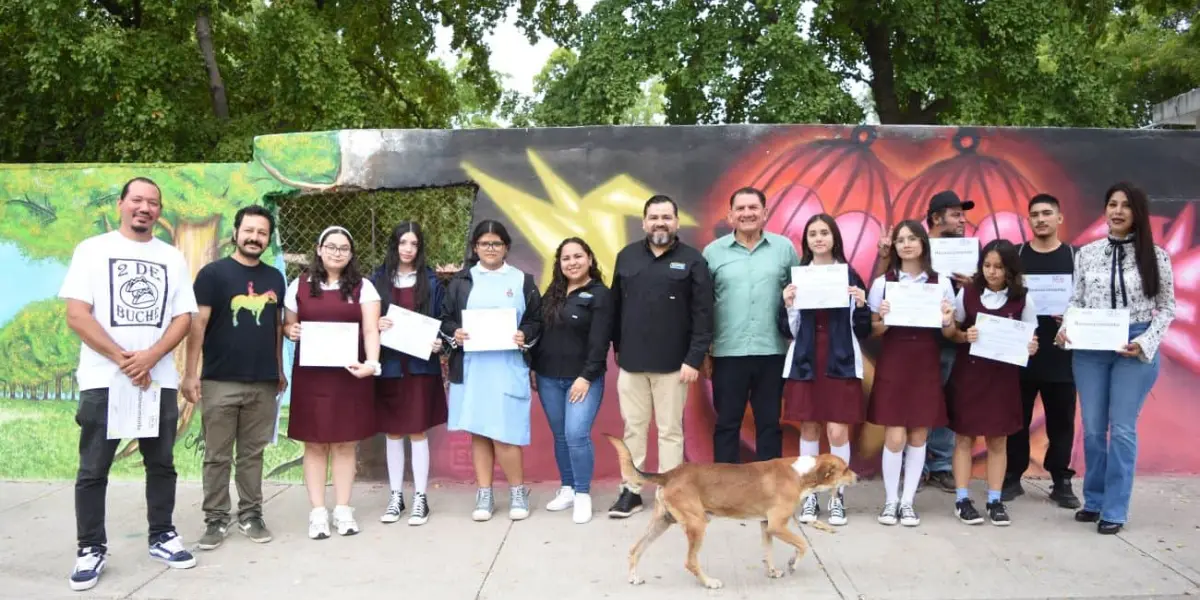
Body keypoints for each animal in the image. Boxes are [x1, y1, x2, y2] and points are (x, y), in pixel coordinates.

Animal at [604, 434, 859, 588]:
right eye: (846, 469)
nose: (857, 477)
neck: (801, 473)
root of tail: (670, 473)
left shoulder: (767, 526)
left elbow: (768, 553)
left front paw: (773, 571)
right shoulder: (778, 525)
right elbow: (803, 545)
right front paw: (792, 564)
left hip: (662, 522)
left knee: (635, 549)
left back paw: (634, 577)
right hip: (697, 524)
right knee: (690, 562)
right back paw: (709, 582)